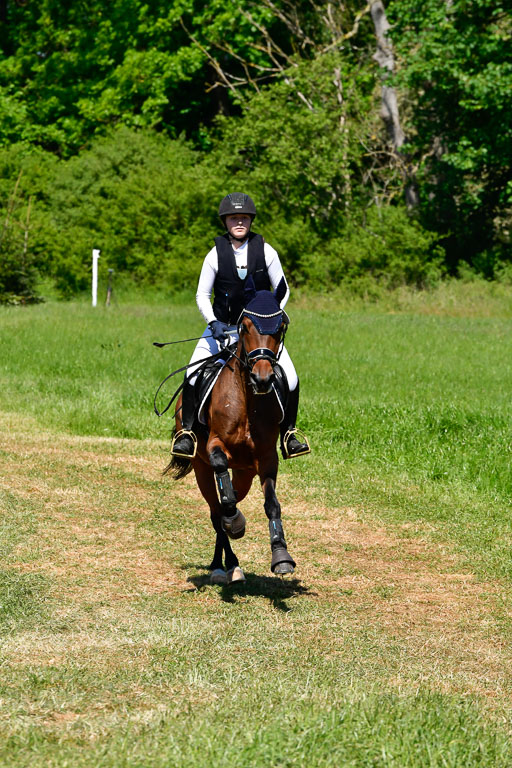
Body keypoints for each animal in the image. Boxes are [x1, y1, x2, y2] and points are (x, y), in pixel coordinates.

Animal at [166, 280, 296, 584]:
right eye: (245, 327)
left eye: (280, 327)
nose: (262, 378)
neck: (247, 402)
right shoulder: (214, 446)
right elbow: (224, 492)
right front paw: (235, 523)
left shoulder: (266, 458)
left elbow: (271, 504)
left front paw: (281, 555)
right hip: (200, 469)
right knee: (216, 511)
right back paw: (221, 564)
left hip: (245, 473)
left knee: (232, 499)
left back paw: (231, 564)